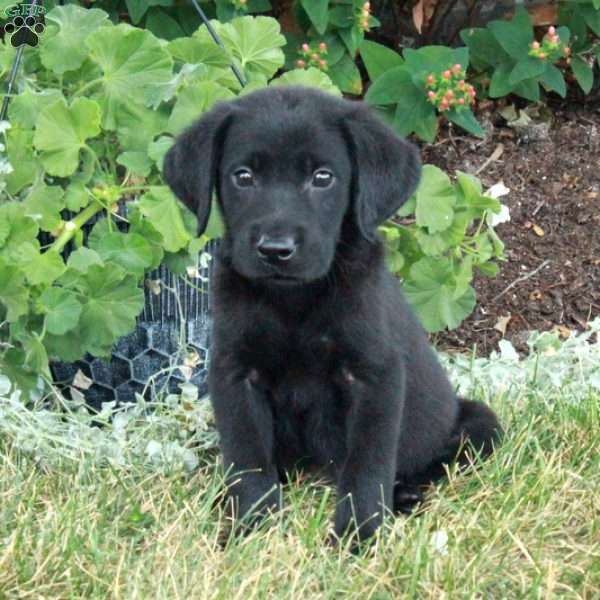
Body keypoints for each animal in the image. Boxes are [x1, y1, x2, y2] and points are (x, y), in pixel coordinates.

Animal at [164, 85, 502, 544]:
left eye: (323, 177)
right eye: (243, 176)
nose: (276, 250)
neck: (294, 301)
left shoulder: (374, 376)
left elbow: (367, 466)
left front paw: (359, 535)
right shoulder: (235, 372)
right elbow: (248, 458)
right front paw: (251, 528)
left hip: (477, 425)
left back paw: (404, 495)